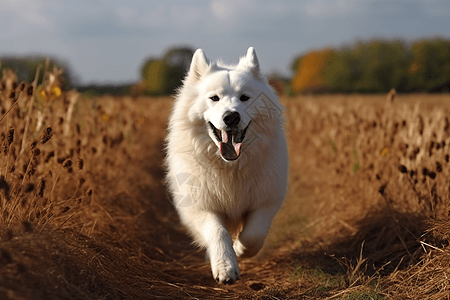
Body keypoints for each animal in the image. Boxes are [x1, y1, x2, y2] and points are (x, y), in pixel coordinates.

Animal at [165, 47, 288, 284]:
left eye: (244, 98)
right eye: (214, 98)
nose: (231, 117)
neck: (230, 167)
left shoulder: (266, 201)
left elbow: (253, 235)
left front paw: (239, 249)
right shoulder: (200, 206)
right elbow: (218, 232)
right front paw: (225, 266)